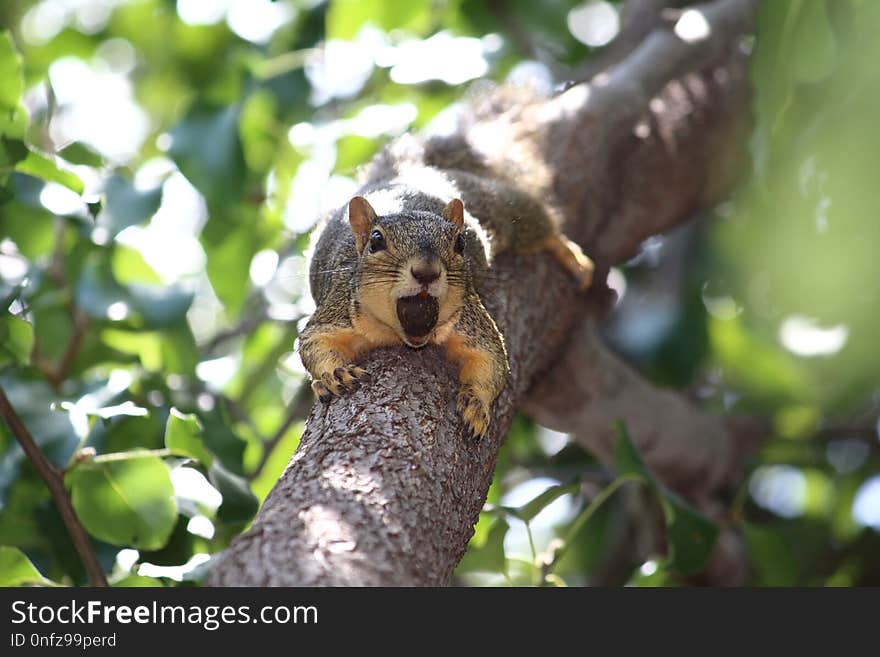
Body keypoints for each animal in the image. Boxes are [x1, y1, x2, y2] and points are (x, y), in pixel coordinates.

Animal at [300, 132, 596, 440]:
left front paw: (476, 403)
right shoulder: (339, 309)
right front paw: (335, 374)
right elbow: (314, 342)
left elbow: (492, 361)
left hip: (501, 207)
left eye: (460, 242)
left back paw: (570, 254)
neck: (398, 335)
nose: (427, 272)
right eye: (376, 241)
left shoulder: (469, 319)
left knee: (536, 223)